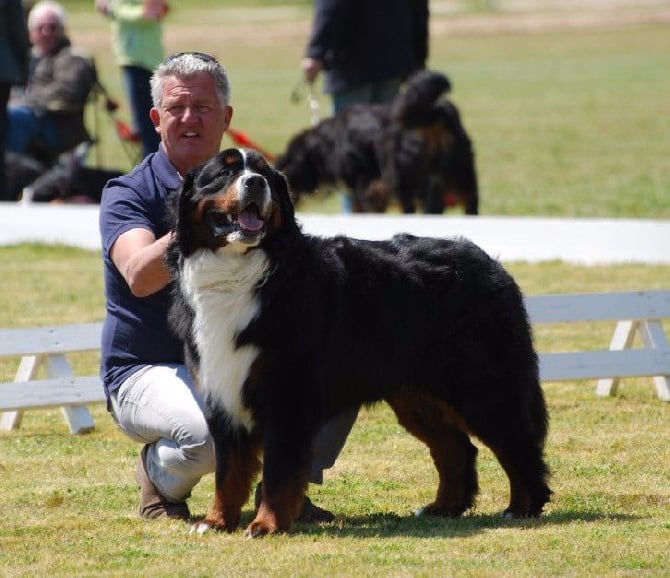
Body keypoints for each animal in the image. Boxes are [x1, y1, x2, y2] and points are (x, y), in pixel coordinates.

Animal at [168, 147, 552, 536]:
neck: (243, 274)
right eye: (224, 173)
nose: (255, 183)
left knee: (517, 444)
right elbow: (228, 472)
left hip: (480, 387)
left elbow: (278, 474)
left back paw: (522, 507)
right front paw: (216, 521)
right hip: (416, 396)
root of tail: (491, 264)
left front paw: (266, 524)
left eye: (264, 174)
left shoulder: (286, 397)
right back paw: (443, 508)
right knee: (457, 449)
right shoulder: (223, 392)